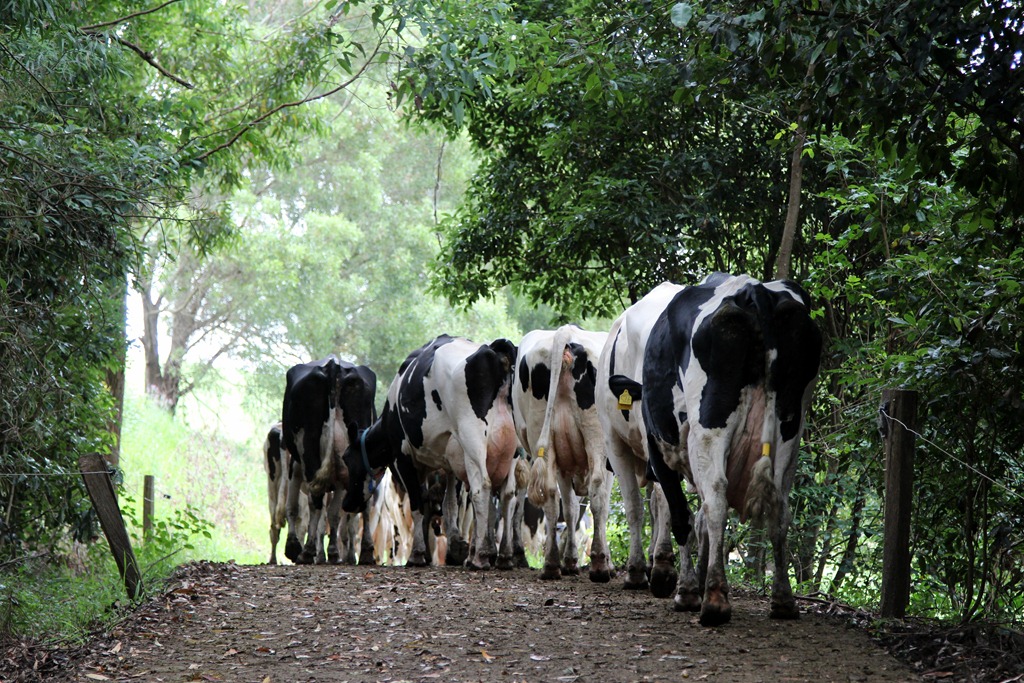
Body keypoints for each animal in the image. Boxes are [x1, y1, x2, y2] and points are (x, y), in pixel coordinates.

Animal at [281, 355, 377, 565]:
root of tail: (334, 366)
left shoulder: (295, 464)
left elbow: (292, 507)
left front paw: (293, 546)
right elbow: (333, 514)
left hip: (307, 448)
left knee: (316, 502)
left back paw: (307, 551)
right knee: (357, 504)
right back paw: (363, 552)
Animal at [340, 334, 520, 571]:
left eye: (346, 458)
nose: (347, 503)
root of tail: (494, 349)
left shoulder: (403, 457)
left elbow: (418, 503)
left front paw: (417, 554)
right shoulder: (448, 461)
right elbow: (449, 504)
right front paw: (456, 545)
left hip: (473, 439)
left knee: (482, 488)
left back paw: (480, 557)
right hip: (513, 448)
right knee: (508, 494)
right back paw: (504, 556)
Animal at [513, 325, 614, 582]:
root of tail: (565, 332)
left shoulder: (566, 462)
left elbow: (570, 508)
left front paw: (569, 561)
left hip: (544, 435)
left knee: (550, 495)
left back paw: (551, 565)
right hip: (596, 434)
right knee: (597, 489)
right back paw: (600, 566)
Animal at [597, 273, 821, 626]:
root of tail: (755, 292)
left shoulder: (645, 447)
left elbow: (667, 513)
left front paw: (679, 586)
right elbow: (691, 517)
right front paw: (689, 578)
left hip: (708, 425)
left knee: (715, 500)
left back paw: (714, 600)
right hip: (790, 427)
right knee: (780, 509)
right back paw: (783, 600)